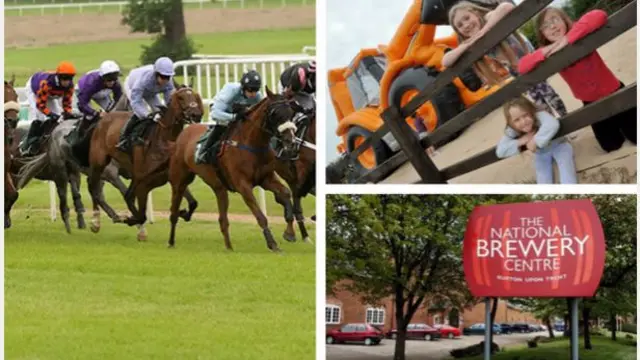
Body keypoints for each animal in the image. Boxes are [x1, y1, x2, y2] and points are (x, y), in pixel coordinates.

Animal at [86, 83, 204, 238]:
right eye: (180, 97)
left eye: (195, 96)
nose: (196, 114)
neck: (163, 141)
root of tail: (104, 118)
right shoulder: (141, 180)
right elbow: (138, 210)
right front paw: (132, 221)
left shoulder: (168, 176)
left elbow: (193, 203)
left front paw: (182, 212)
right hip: (99, 163)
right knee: (94, 187)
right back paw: (97, 222)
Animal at [169, 86, 302, 253]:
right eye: (275, 114)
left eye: (291, 112)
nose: (290, 141)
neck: (252, 144)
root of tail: (184, 132)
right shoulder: (243, 186)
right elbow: (261, 216)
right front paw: (272, 243)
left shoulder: (266, 179)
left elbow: (285, 193)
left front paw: (289, 233)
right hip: (179, 181)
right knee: (174, 212)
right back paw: (171, 241)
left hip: (219, 188)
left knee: (223, 219)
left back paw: (229, 247)